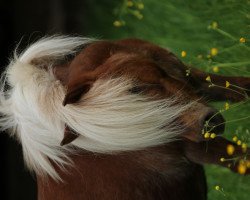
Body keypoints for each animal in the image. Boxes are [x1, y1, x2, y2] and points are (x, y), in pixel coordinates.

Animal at [0, 36, 250, 200]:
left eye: (140, 87)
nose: (208, 122)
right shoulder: (197, 148)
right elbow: (242, 158)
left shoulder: (192, 78)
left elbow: (237, 87)